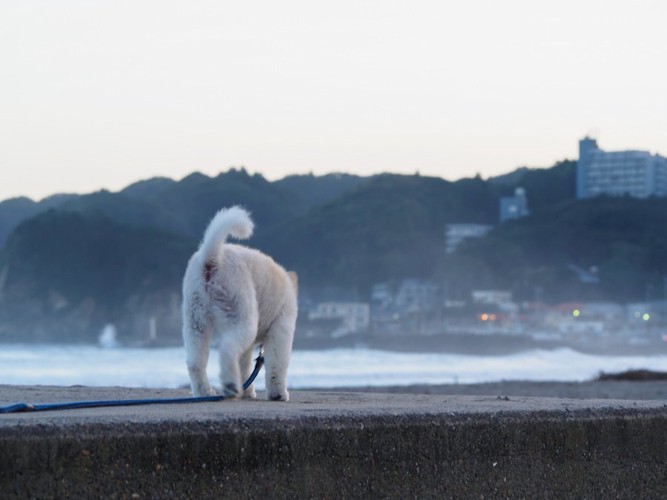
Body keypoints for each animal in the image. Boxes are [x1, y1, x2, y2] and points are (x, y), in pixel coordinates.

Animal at [183, 205, 298, 400]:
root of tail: (212, 258)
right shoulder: (281, 328)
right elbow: (277, 365)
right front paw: (278, 393)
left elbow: (244, 365)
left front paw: (248, 392)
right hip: (239, 309)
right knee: (227, 349)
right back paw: (230, 385)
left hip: (195, 318)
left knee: (195, 361)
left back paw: (204, 391)